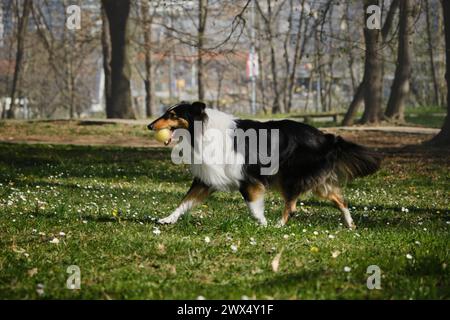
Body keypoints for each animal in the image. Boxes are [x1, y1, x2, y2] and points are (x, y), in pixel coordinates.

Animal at [149, 101, 382, 229]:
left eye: (172, 115)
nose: (150, 125)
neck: (203, 130)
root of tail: (325, 137)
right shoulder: (206, 179)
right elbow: (184, 202)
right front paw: (167, 219)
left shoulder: (247, 179)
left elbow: (253, 208)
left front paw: (263, 224)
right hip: (315, 181)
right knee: (340, 200)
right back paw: (350, 224)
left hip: (290, 176)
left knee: (292, 205)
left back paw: (279, 225)